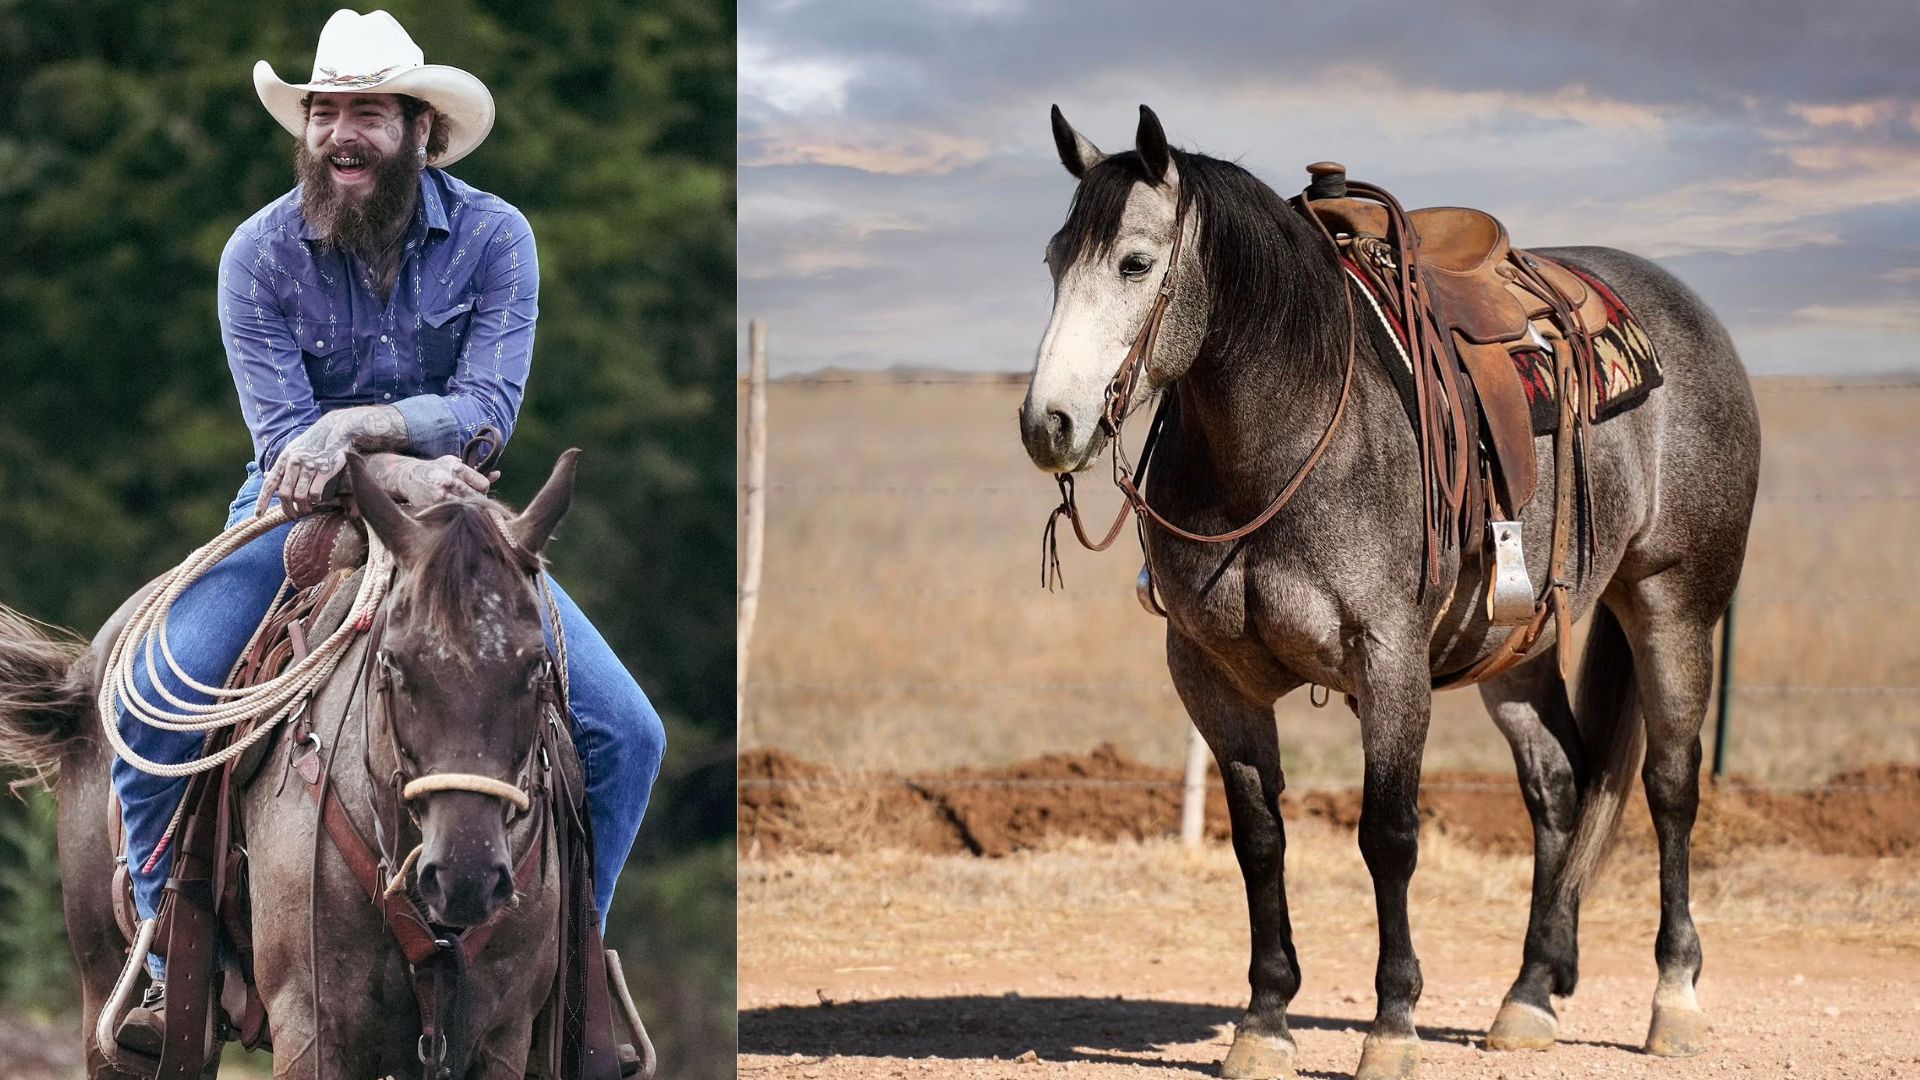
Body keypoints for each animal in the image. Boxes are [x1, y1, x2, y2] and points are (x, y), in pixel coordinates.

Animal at [0, 450, 599, 1078]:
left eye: (537, 666)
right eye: (393, 663)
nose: (466, 872)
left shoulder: (501, 1038)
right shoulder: (310, 1025)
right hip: (108, 996)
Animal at [1019, 106, 1759, 1080]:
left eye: (1136, 263)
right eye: (1053, 260)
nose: (1049, 424)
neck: (1280, 445)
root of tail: (1693, 320)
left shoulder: (1391, 662)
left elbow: (1388, 835)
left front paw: (1393, 1024)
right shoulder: (1209, 672)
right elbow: (1259, 837)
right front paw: (1264, 1020)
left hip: (1673, 604)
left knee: (1669, 786)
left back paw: (1674, 999)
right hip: (1512, 650)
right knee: (1561, 785)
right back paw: (1529, 993)